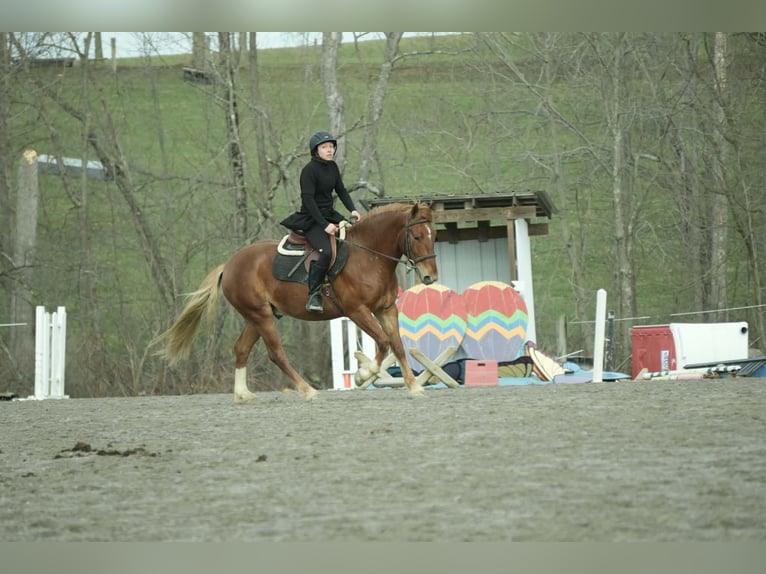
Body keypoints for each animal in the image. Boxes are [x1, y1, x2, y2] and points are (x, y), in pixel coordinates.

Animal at [152, 201, 439, 402]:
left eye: (433, 236)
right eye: (416, 237)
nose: (430, 277)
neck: (369, 257)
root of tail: (229, 264)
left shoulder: (386, 309)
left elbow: (397, 345)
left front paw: (414, 387)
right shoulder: (357, 311)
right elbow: (382, 341)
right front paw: (363, 375)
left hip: (256, 317)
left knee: (241, 349)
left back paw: (242, 394)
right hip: (261, 316)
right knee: (276, 353)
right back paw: (308, 391)